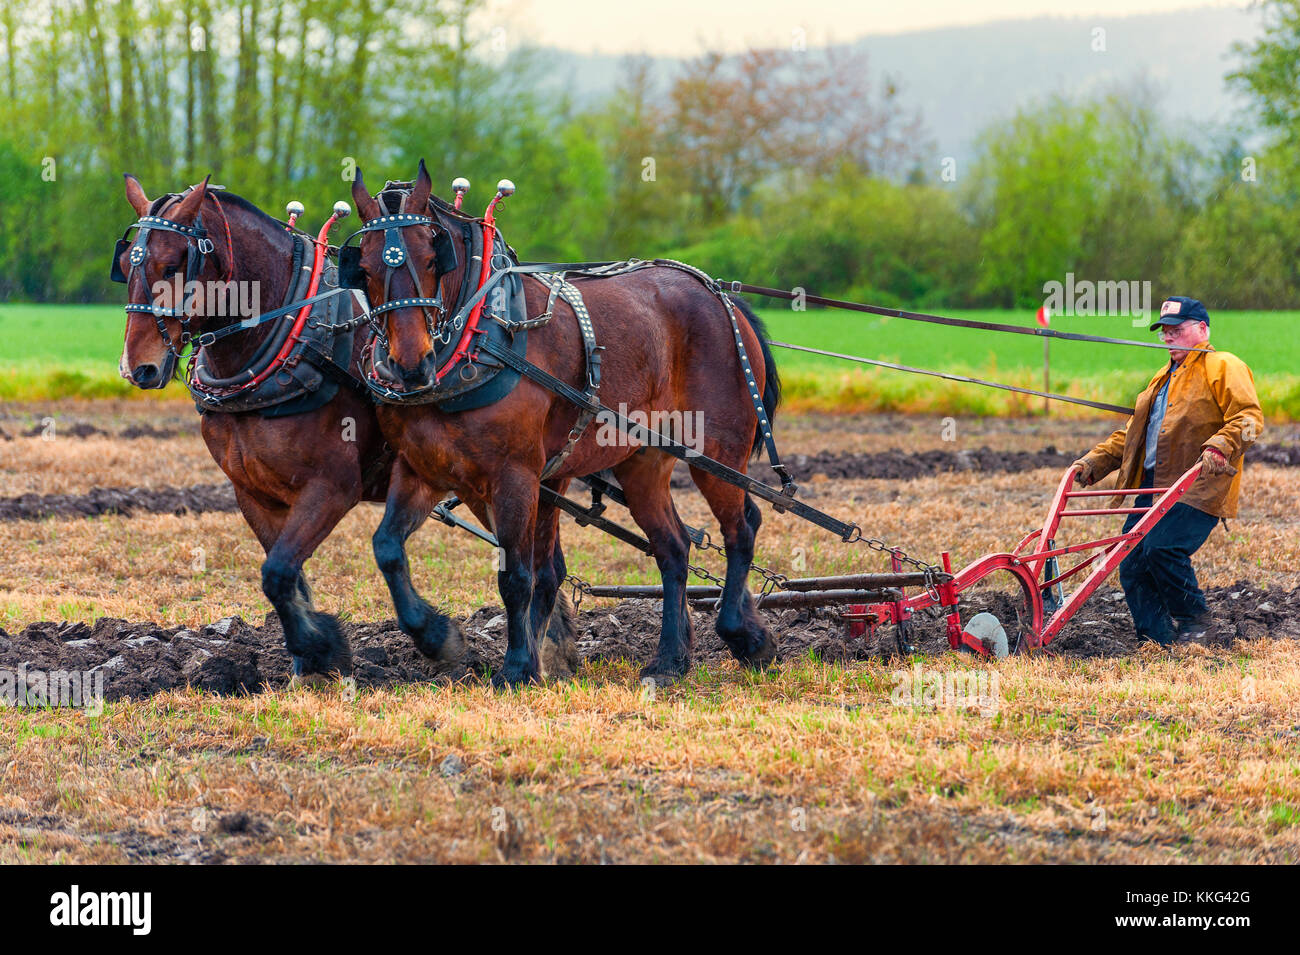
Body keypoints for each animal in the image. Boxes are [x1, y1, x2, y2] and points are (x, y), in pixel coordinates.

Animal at [113, 175, 580, 681]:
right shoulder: (253, 493)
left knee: (540, 565)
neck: (289, 338)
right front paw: (308, 659)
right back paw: (556, 651)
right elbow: (287, 578)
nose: (139, 367)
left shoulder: (333, 486)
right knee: (544, 563)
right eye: (125, 262)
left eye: (174, 264)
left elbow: (279, 572)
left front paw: (336, 645)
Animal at [347, 160, 782, 686]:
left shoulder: (516, 474)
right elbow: (388, 548)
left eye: (433, 258)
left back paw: (744, 635)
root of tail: (723, 297)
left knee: (742, 528)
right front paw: (438, 637)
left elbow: (518, 576)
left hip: (716, 449)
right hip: (642, 461)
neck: (478, 336)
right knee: (673, 548)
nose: (411, 365)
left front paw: (518, 667)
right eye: (365, 267)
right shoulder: (422, 470)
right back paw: (670, 660)